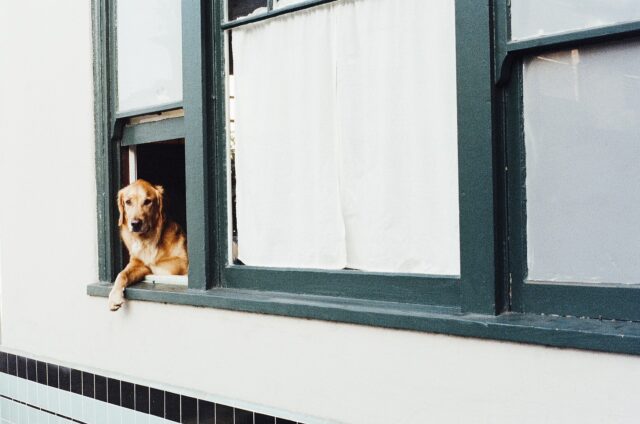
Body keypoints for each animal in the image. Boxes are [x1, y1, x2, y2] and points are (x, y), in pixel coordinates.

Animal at [107, 179, 188, 312]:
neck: (147, 241)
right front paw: (114, 297)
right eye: (128, 202)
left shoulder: (183, 262)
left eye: (148, 201)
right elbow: (122, 274)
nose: (135, 224)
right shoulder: (137, 264)